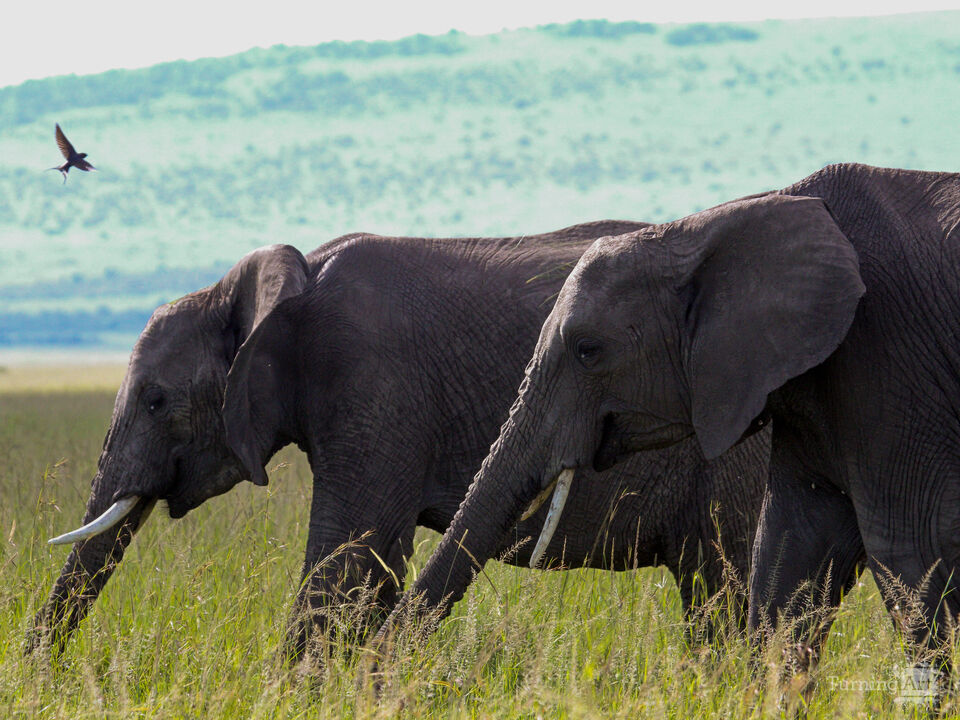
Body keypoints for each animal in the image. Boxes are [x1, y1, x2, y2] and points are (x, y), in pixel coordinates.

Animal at [30, 219, 769, 659]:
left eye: (156, 401)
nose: (42, 675)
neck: (288, 280)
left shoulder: (374, 387)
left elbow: (347, 562)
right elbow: (371, 570)